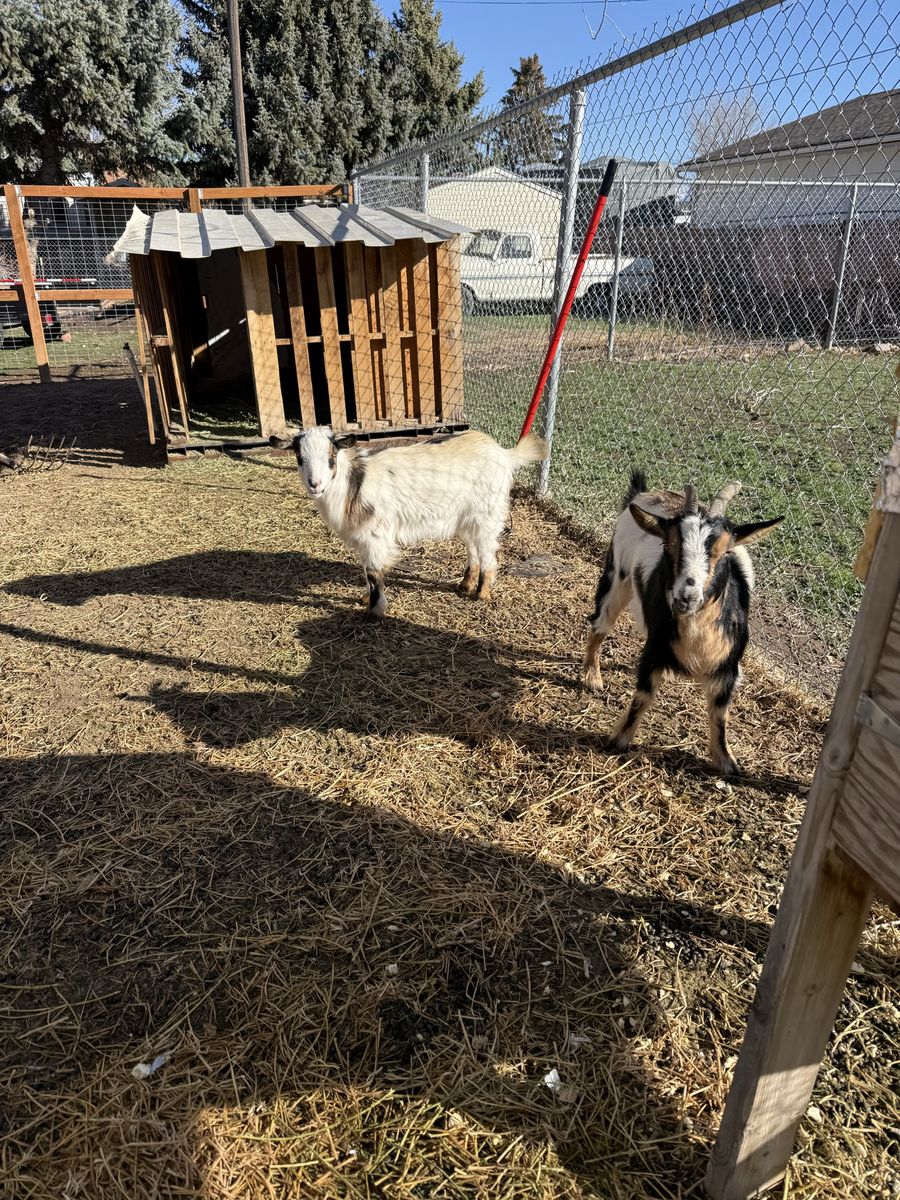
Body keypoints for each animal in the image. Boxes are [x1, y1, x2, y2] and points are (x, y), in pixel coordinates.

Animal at [271, 427, 547, 617]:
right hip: (466, 517)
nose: (315, 484)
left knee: (488, 551)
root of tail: (504, 454)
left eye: (331, 456)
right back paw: (466, 584)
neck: (352, 482)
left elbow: (373, 573)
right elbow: (369, 570)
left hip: (487, 512)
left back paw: (482, 593)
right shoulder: (364, 539)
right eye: (299, 456)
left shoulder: (375, 534)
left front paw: (375, 611)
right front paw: (365, 599)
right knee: (473, 549)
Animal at [583, 470, 783, 774]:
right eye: (668, 544)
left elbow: (720, 714)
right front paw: (619, 740)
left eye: (727, 552)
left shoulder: (728, 666)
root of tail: (644, 493)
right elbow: (642, 698)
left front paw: (727, 763)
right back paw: (592, 677)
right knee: (600, 623)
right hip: (617, 574)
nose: (686, 597)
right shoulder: (654, 651)